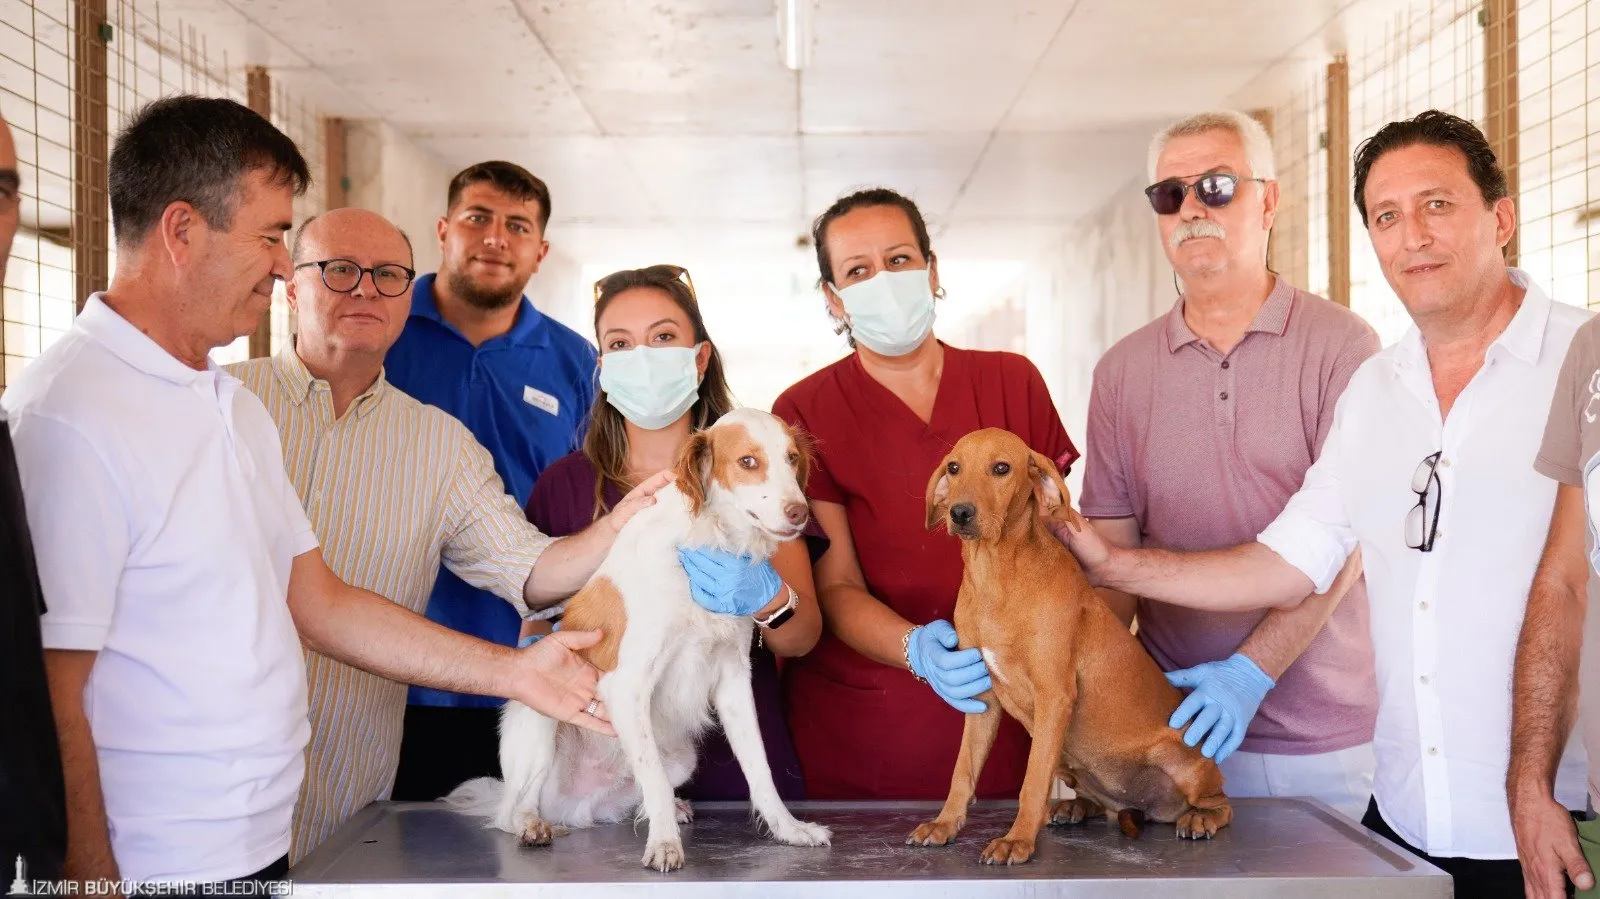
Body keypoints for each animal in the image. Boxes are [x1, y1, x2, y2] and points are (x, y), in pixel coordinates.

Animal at [448, 407, 832, 870]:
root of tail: (574, 807)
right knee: (513, 809)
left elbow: (759, 768)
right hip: (539, 709)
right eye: (748, 462)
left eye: (792, 459)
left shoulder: (734, 680)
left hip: (682, 758)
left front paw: (789, 829)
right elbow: (653, 775)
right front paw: (664, 844)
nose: (799, 513)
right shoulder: (627, 683)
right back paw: (531, 824)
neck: (708, 542)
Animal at [908, 425, 1228, 863]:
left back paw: (1199, 818)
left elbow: (1031, 782)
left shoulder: (1054, 696)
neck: (997, 576)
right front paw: (944, 823)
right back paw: (1075, 806)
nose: (959, 513)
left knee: (1222, 803)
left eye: (1001, 468)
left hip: (1184, 759)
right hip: (1069, 760)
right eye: (954, 468)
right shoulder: (982, 698)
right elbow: (963, 771)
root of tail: (1149, 807)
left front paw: (1017, 840)